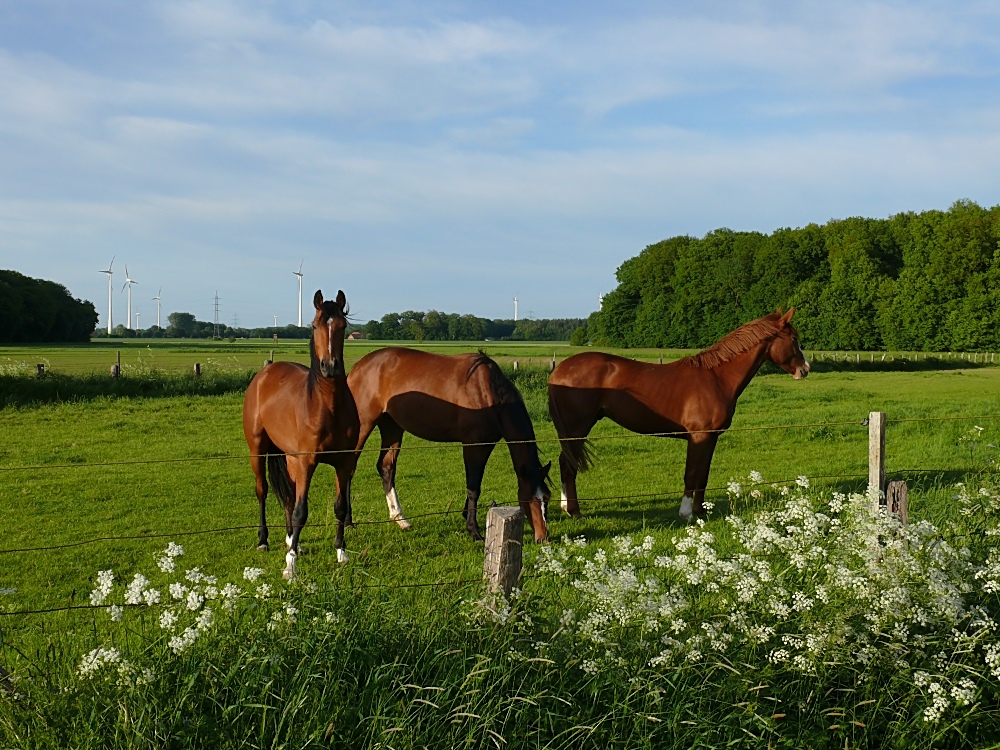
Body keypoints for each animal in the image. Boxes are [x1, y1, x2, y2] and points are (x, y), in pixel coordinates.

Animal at [243, 290, 360, 580]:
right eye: (316, 326)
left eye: (342, 325)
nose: (330, 366)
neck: (328, 405)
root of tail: (265, 372)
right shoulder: (308, 462)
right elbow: (301, 512)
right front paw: (290, 564)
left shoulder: (343, 462)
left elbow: (340, 506)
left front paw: (341, 552)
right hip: (258, 450)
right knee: (263, 491)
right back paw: (264, 540)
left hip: (290, 457)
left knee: (288, 495)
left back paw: (290, 539)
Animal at [350, 350, 556, 544]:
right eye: (530, 498)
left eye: (547, 497)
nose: (543, 537)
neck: (487, 391)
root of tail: (359, 366)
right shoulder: (473, 445)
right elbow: (473, 488)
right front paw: (474, 531)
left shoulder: (486, 444)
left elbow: (476, 484)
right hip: (364, 425)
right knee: (348, 469)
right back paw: (348, 523)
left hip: (391, 426)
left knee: (386, 468)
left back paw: (401, 520)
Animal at [552, 312, 808, 524]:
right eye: (794, 338)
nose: (804, 369)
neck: (717, 378)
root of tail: (558, 371)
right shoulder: (698, 437)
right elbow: (691, 474)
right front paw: (686, 513)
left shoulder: (710, 438)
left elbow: (703, 475)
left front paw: (700, 511)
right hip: (577, 429)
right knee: (568, 465)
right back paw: (574, 512)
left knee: (565, 463)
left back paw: (567, 508)